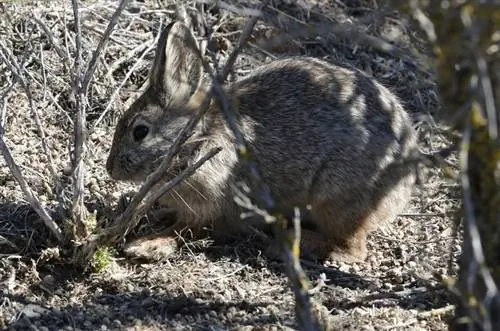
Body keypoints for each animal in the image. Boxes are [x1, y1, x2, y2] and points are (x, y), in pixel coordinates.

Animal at [107, 21, 420, 264]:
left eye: (140, 131)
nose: (111, 169)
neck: (195, 140)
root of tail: (405, 187)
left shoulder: (211, 203)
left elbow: (185, 229)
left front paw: (144, 246)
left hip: (337, 199)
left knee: (352, 248)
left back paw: (290, 244)